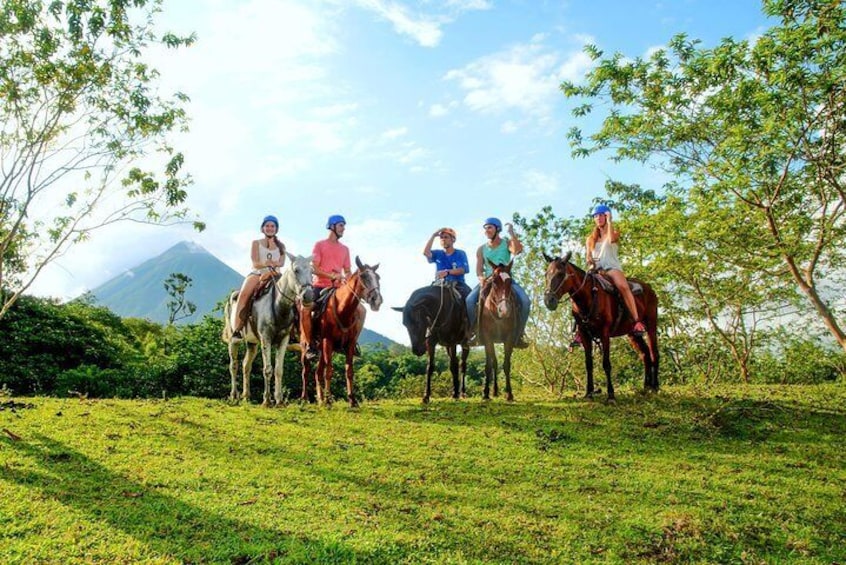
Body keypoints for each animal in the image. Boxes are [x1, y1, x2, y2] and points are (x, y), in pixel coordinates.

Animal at [224, 252, 316, 406]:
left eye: (312, 272)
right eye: (296, 270)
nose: (308, 296)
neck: (279, 305)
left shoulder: (284, 340)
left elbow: (278, 370)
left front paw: (279, 400)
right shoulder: (266, 339)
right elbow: (267, 369)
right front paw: (267, 400)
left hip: (252, 343)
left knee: (245, 365)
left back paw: (246, 396)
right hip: (233, 341)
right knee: (234, 365)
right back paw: (233, 395)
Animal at [300, 256, 382, 406]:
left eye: (378, 277)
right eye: (364, 276)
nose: (377, 300)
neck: (342, 310)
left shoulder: (350, 343)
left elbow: (349, 371)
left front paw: (352, 400)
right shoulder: (328, 341)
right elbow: (329, 371)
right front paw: (329, 400)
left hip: (322, 349)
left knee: (317, 373)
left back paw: (320, 399)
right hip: (306, 346)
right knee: (306, 370)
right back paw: (305, 398)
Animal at [476, 260, 524, 400]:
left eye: (510, 281)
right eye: (494, 281)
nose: (504, 310)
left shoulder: (509, 338)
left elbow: (506, 364)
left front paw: (509, 394)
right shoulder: (488, 338)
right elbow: (490, 365)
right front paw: (486, 393)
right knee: (492, 363)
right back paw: (493, 391)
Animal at [544, 249, 664, 398]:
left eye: (560, 273)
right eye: (546, 274)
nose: (548, 300)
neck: (588, 297)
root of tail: (649, 289)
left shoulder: (604, 333)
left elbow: (606, 363)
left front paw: (611, 395)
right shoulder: (584, 334)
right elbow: (588, 364)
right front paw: (589, 393)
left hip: (651, 324)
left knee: (654, 353)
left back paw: (655, 386)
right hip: (633, 333)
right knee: (645, 354)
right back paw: (646, 387)